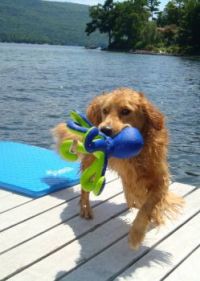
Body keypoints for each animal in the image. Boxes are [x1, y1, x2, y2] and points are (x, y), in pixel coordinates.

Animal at [52, 87, 183, 247]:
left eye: (126, 111)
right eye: (105, 110)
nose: (104, 130)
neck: (137, 154)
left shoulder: (160, 178)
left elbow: (148, 204)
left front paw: (147, 222)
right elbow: (145, 203)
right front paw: (136, 236)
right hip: (91, 163)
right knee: (85, 189)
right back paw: (85, 208)